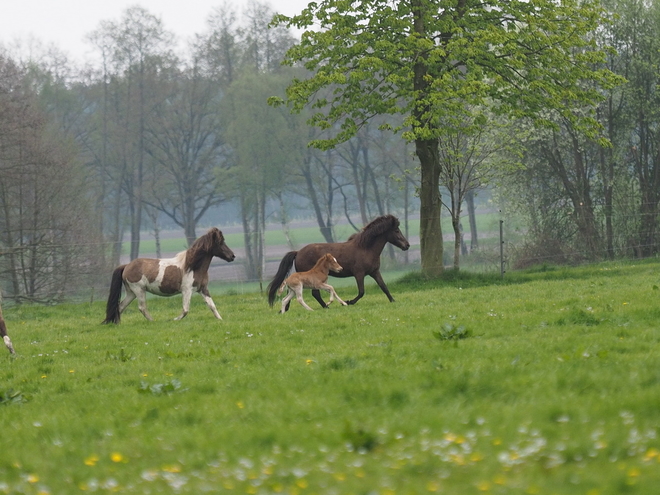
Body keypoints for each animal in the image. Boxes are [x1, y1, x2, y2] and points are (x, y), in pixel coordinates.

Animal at [102, 229, 236, 326]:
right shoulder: (187, 290)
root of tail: (126, 266)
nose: (232, 256)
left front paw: (220, 319)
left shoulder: (203, 289)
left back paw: (117, 324)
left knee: (120, 307)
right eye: (220, 242)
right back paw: (153, 321)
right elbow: (185, 310)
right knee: (142, 307)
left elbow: (212, 306)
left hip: (131, 293)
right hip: (139, 290)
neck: (192, 266)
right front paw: (174, 319)